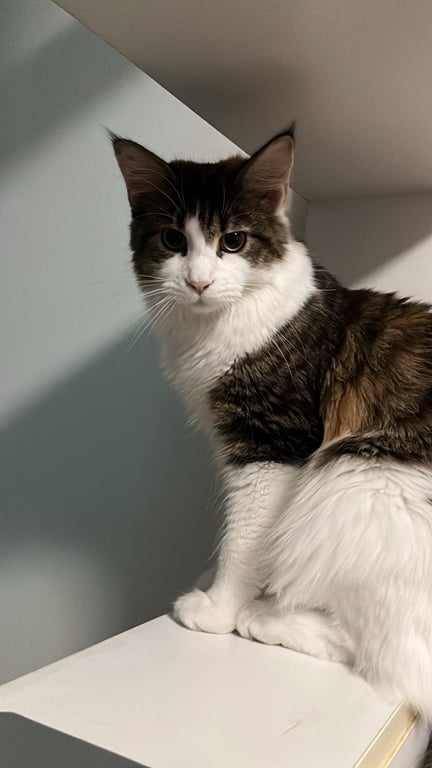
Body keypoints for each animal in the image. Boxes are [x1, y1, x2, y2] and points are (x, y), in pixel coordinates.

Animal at [112, 129, 432, 726]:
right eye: (172, 239)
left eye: (233, 242)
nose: (198, 281)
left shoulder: (270, 443)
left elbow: (246, 537)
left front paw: (219, 606)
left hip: (352, 475)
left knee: (387, 654)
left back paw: (269, 616)